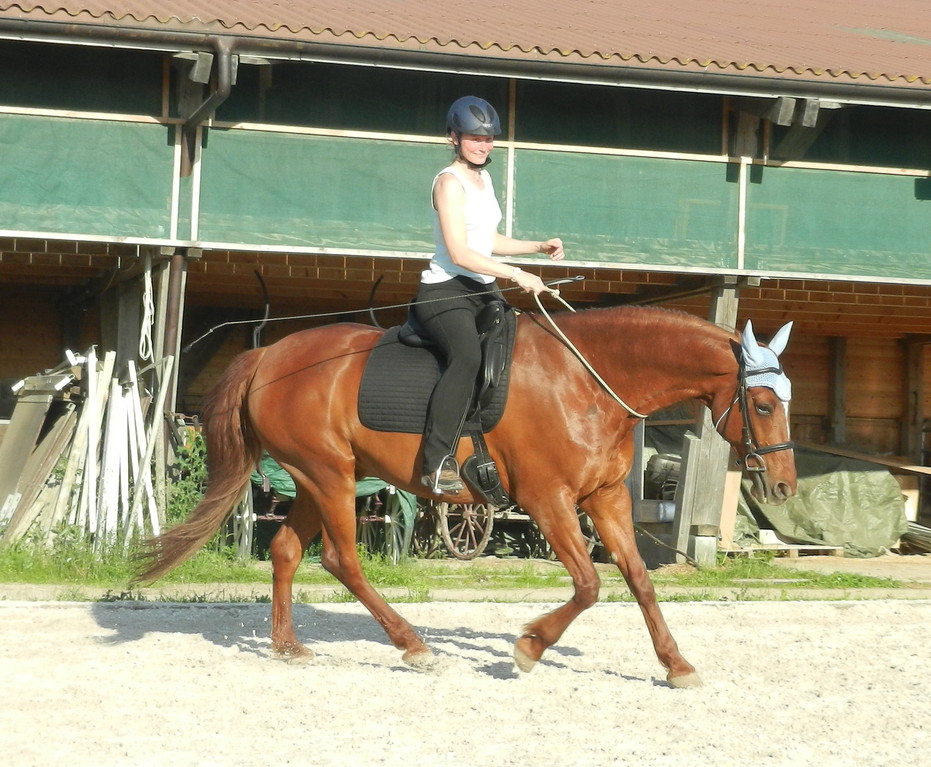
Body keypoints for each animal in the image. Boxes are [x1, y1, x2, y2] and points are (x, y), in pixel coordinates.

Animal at [135, 306, 796, 688]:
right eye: (764, 404)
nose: (784, 485)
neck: (587, 381)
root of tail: (270, 353)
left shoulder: (604, 498)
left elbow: (638, 580)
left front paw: (676, 664)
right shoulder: (548, 499)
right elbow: (588, 585)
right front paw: (529, 647)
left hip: (313, 479)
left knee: (287, 554)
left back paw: (289, 647)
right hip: (331, 478)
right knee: (342, 560)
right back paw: (413, 646)